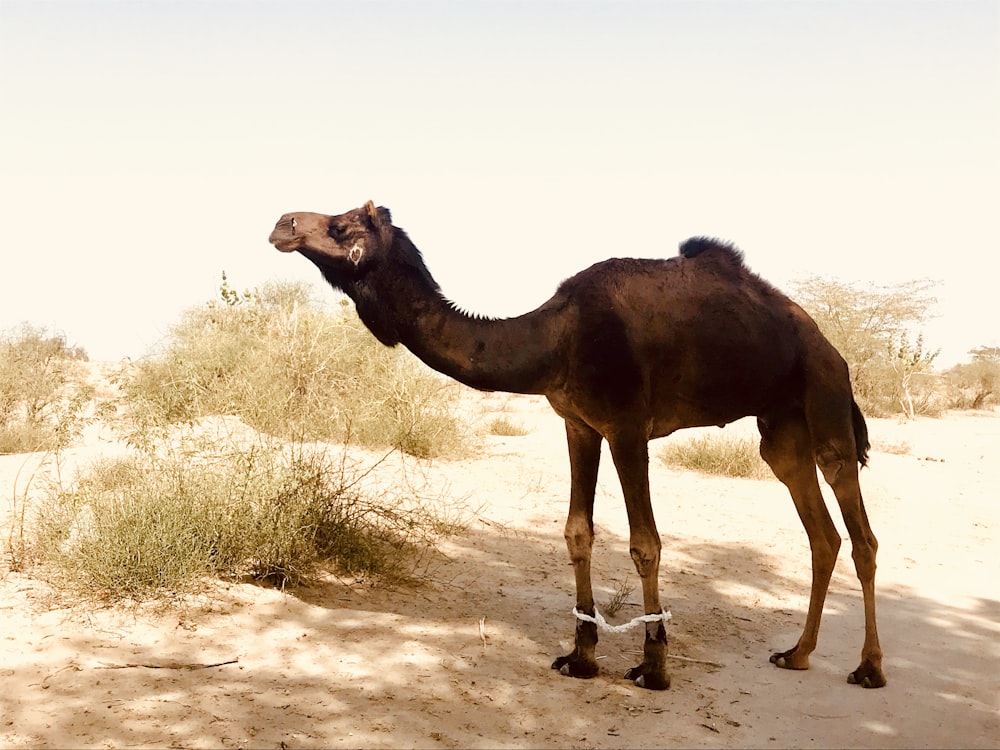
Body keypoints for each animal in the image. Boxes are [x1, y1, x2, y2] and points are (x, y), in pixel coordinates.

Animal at [270, 201, 888, 692]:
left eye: (344, 224)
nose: (282, 224)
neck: (554, 338)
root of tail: (830, 346)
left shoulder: (628, 426)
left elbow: (645, 544)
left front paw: (653, 668)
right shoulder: (579, 424)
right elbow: (577, 532)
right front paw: (581, 657)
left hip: (825, 397)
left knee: (859, 529)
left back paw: (869, 668)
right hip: (781, 428)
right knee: (821, 531)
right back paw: (797, 653)